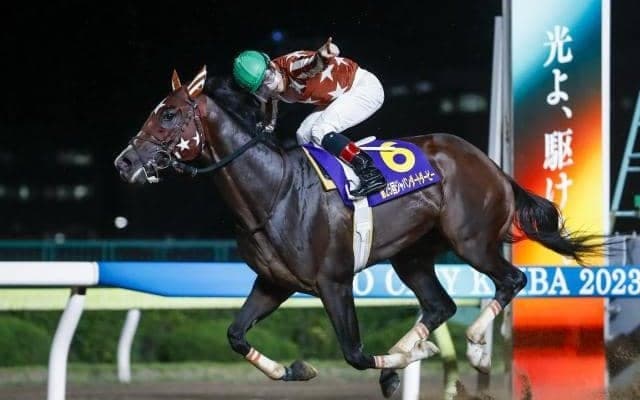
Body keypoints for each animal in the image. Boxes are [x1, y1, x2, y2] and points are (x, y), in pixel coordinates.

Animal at [114, 66, 602, 398]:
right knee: (440, 305)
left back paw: (478, 347)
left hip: (472, 242)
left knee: (511, 280)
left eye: (169, 114)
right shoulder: (273, 282)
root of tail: (492, 165)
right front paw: (297, 370)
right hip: (412, 256)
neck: (275, 191)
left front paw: (409, 361)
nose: (124, 161)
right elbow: (236, 335)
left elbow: (355, 352)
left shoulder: (334, 281)